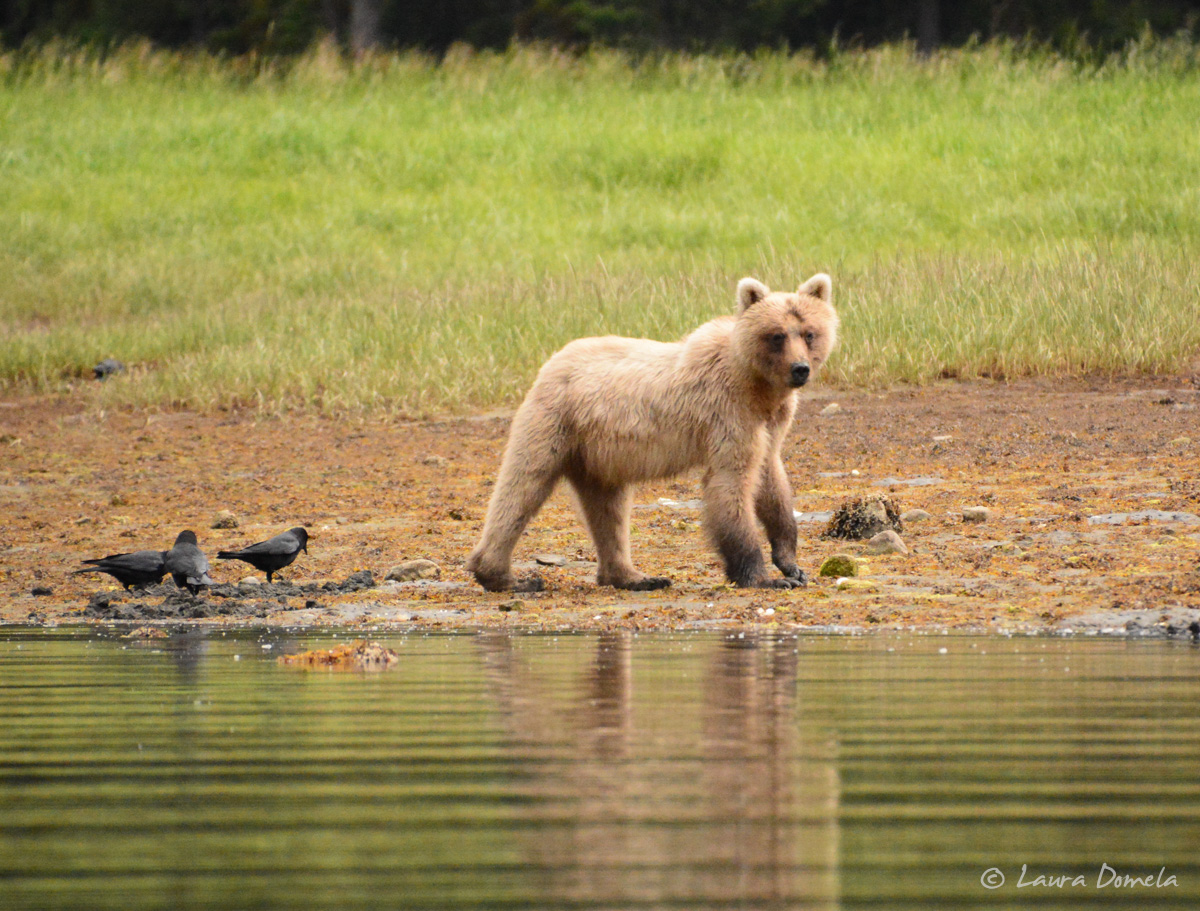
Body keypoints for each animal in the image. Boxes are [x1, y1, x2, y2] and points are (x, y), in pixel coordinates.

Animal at [463, 274, 840, 595]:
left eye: (808, 332)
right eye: (777, 335)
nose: (800, 369)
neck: (758, 386)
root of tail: (552, 360)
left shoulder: (770, 422)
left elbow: (771, 481)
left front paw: (792, 566)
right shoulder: (729, 414)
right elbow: (732, 485)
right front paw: (762, 577)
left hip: (598, 455)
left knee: (609, 509)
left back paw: (635, 576)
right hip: (554, 422)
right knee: (523, 485)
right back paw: (506, 577)